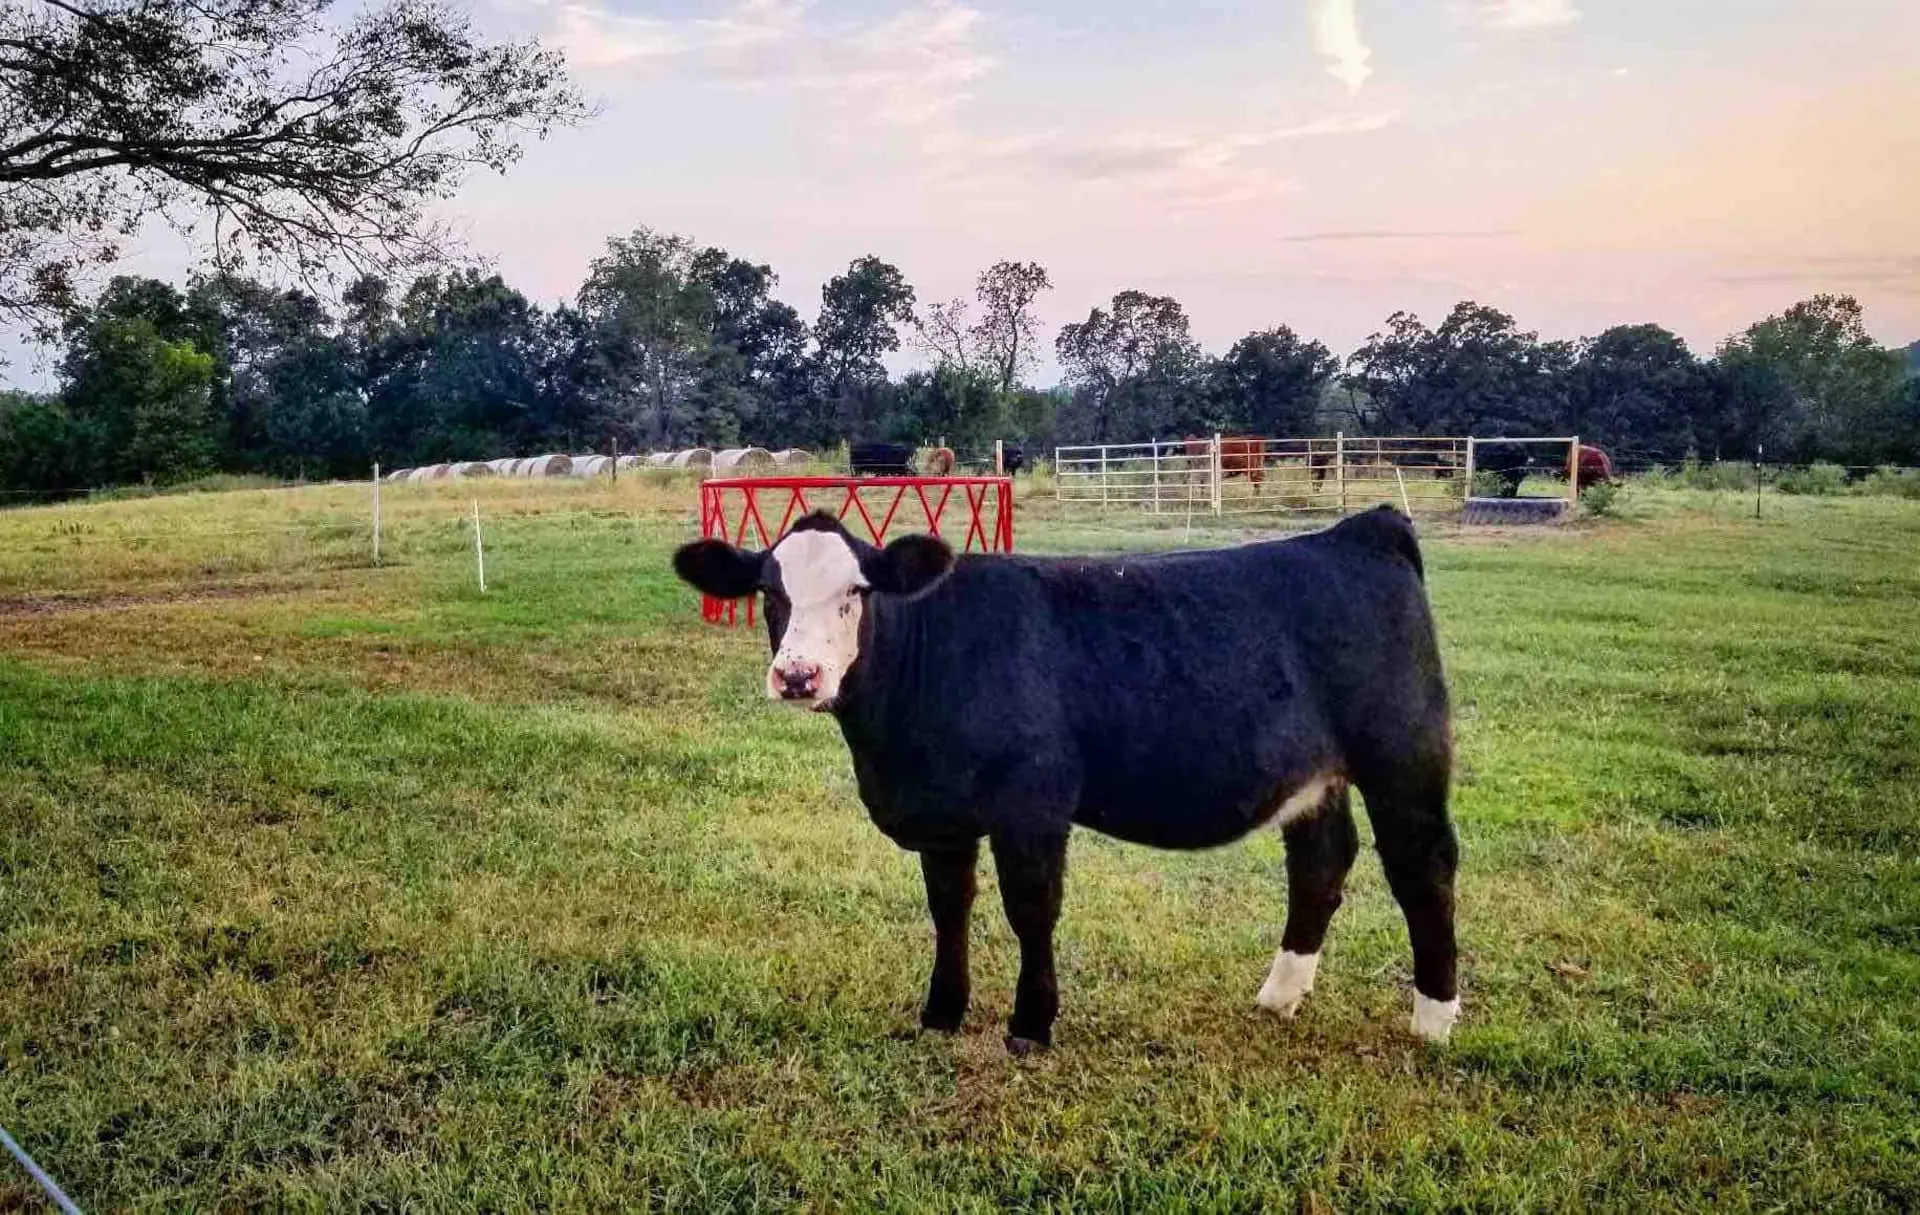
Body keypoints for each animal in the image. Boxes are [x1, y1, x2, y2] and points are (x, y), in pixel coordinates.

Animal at [672, 506, 1461, 1055]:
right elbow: (949, 908)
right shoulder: (945, 815)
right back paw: (1279, 995)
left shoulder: (1033, 807)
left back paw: (1434, 1018)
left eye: (857, 591)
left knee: (1423, 868)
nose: (798, 675)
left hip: (1404, 757)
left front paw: (1030, 1023)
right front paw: (942, 1012)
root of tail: (1360, 531)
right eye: (769, 592)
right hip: (1317, 775)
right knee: (1321, 863)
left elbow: (1031, 910)